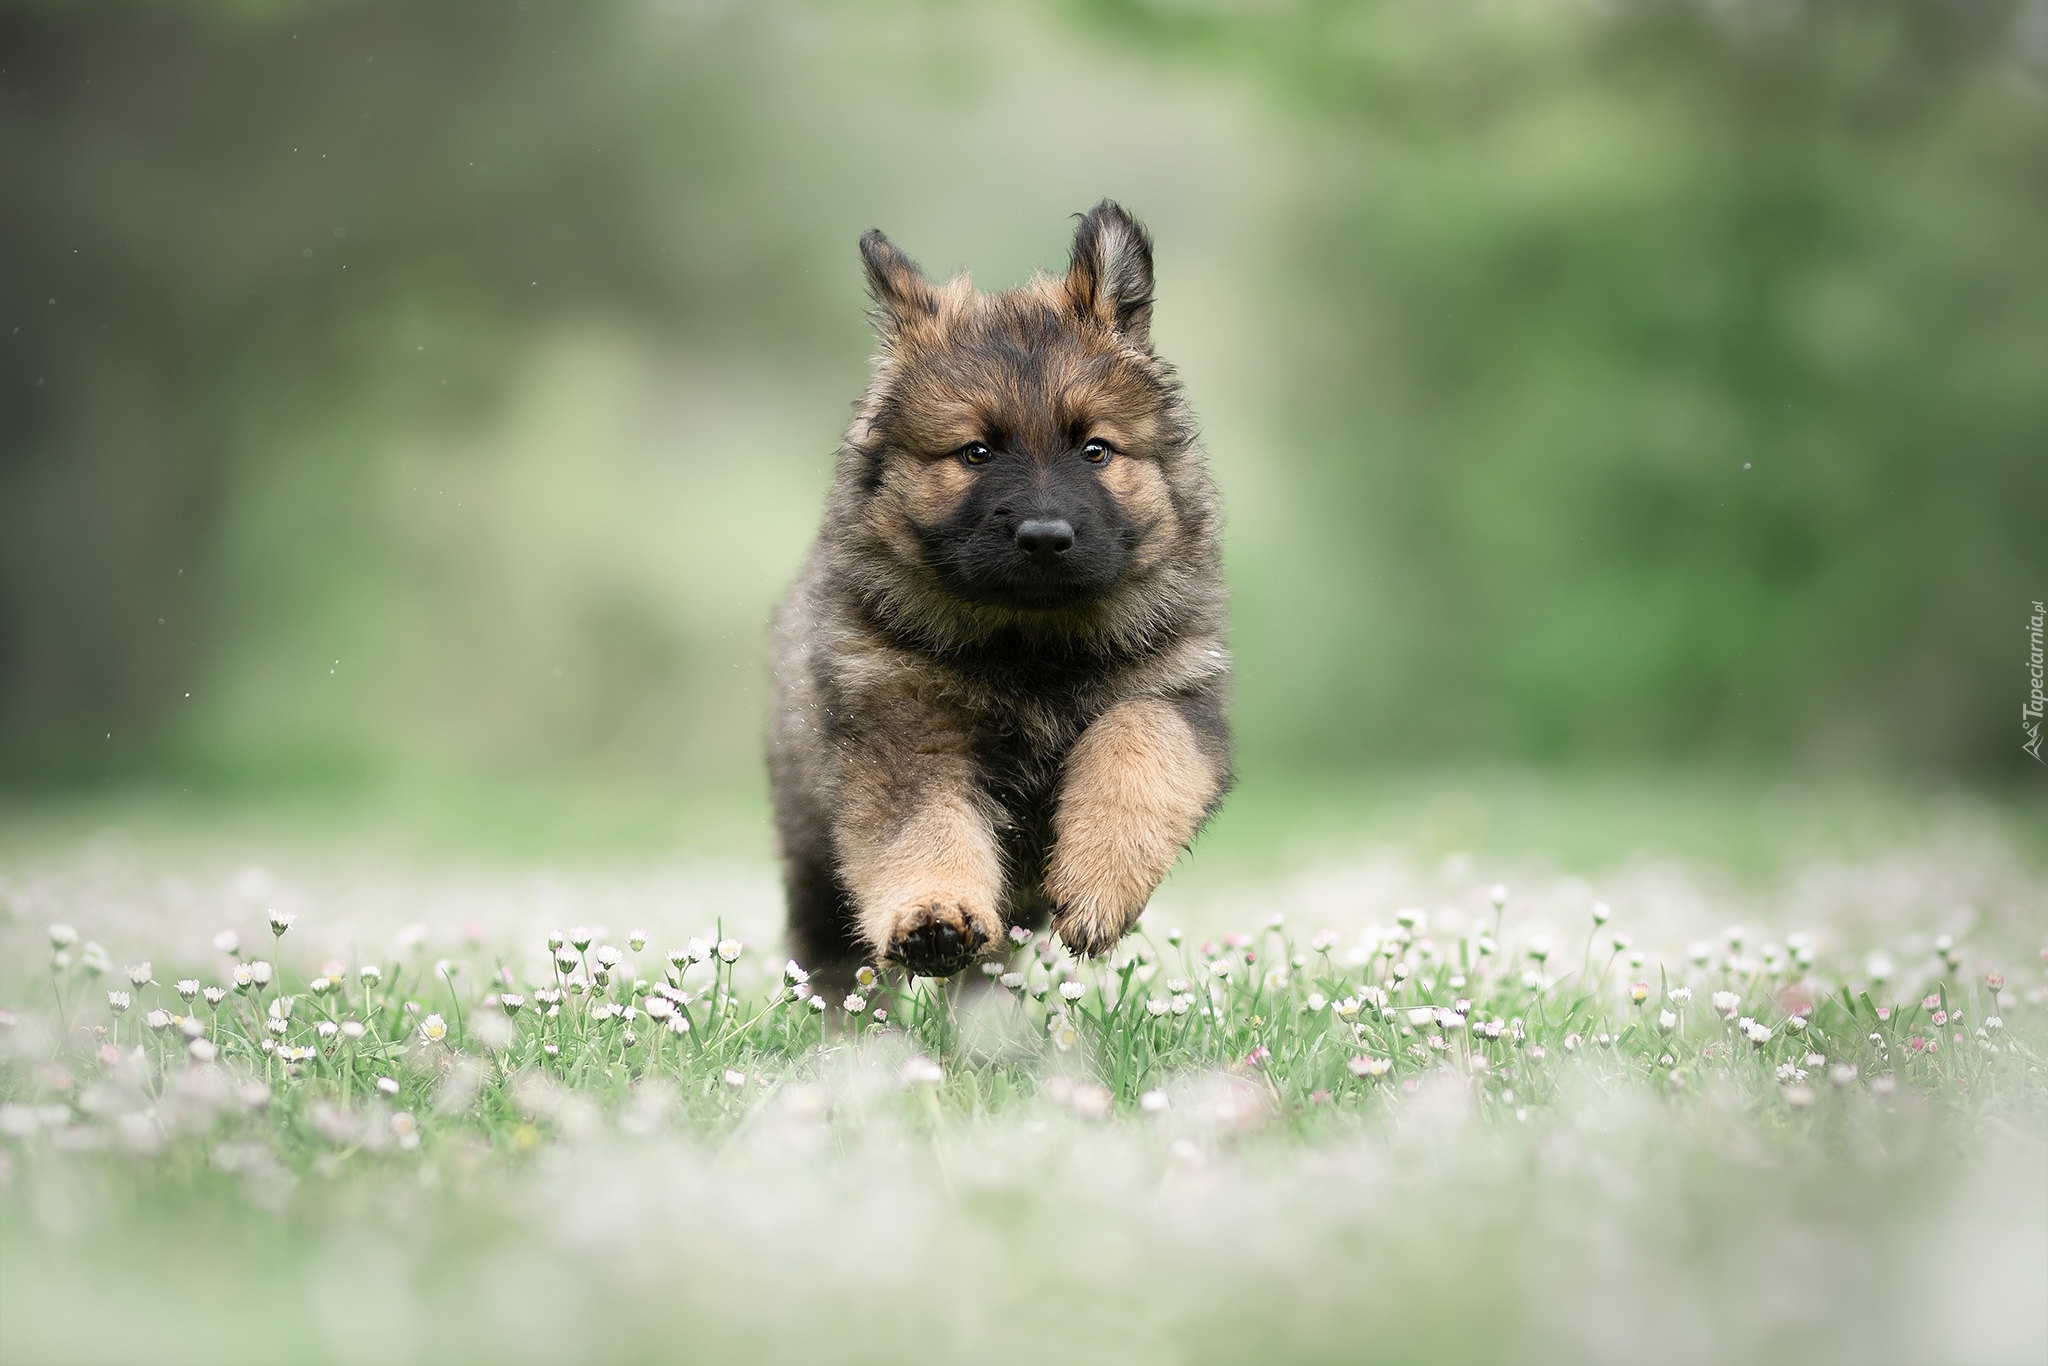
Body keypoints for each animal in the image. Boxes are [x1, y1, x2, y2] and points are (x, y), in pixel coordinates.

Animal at [761, 197, 1220, 978]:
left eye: (1094, 450)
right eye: (975, 452)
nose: (1044, 537)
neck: (1031, 645)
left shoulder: (1172, 693)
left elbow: (1138, 752)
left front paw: (1098, 887)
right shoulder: (904, 734)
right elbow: (924, 830)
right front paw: (933, 915)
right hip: (812, 859)